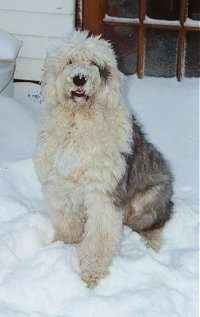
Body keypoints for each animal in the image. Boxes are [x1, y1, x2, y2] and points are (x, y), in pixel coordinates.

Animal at [34, 31, 173, 286]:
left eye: (94, 63)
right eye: (69, 61)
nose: (79, 79)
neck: (78, 122)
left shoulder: (103, 194)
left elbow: (99, 238)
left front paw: (92, 275)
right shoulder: (60, 187)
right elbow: (67, 224)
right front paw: (63, 246)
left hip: (147, 200)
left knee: (155, 224)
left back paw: (152, 246)